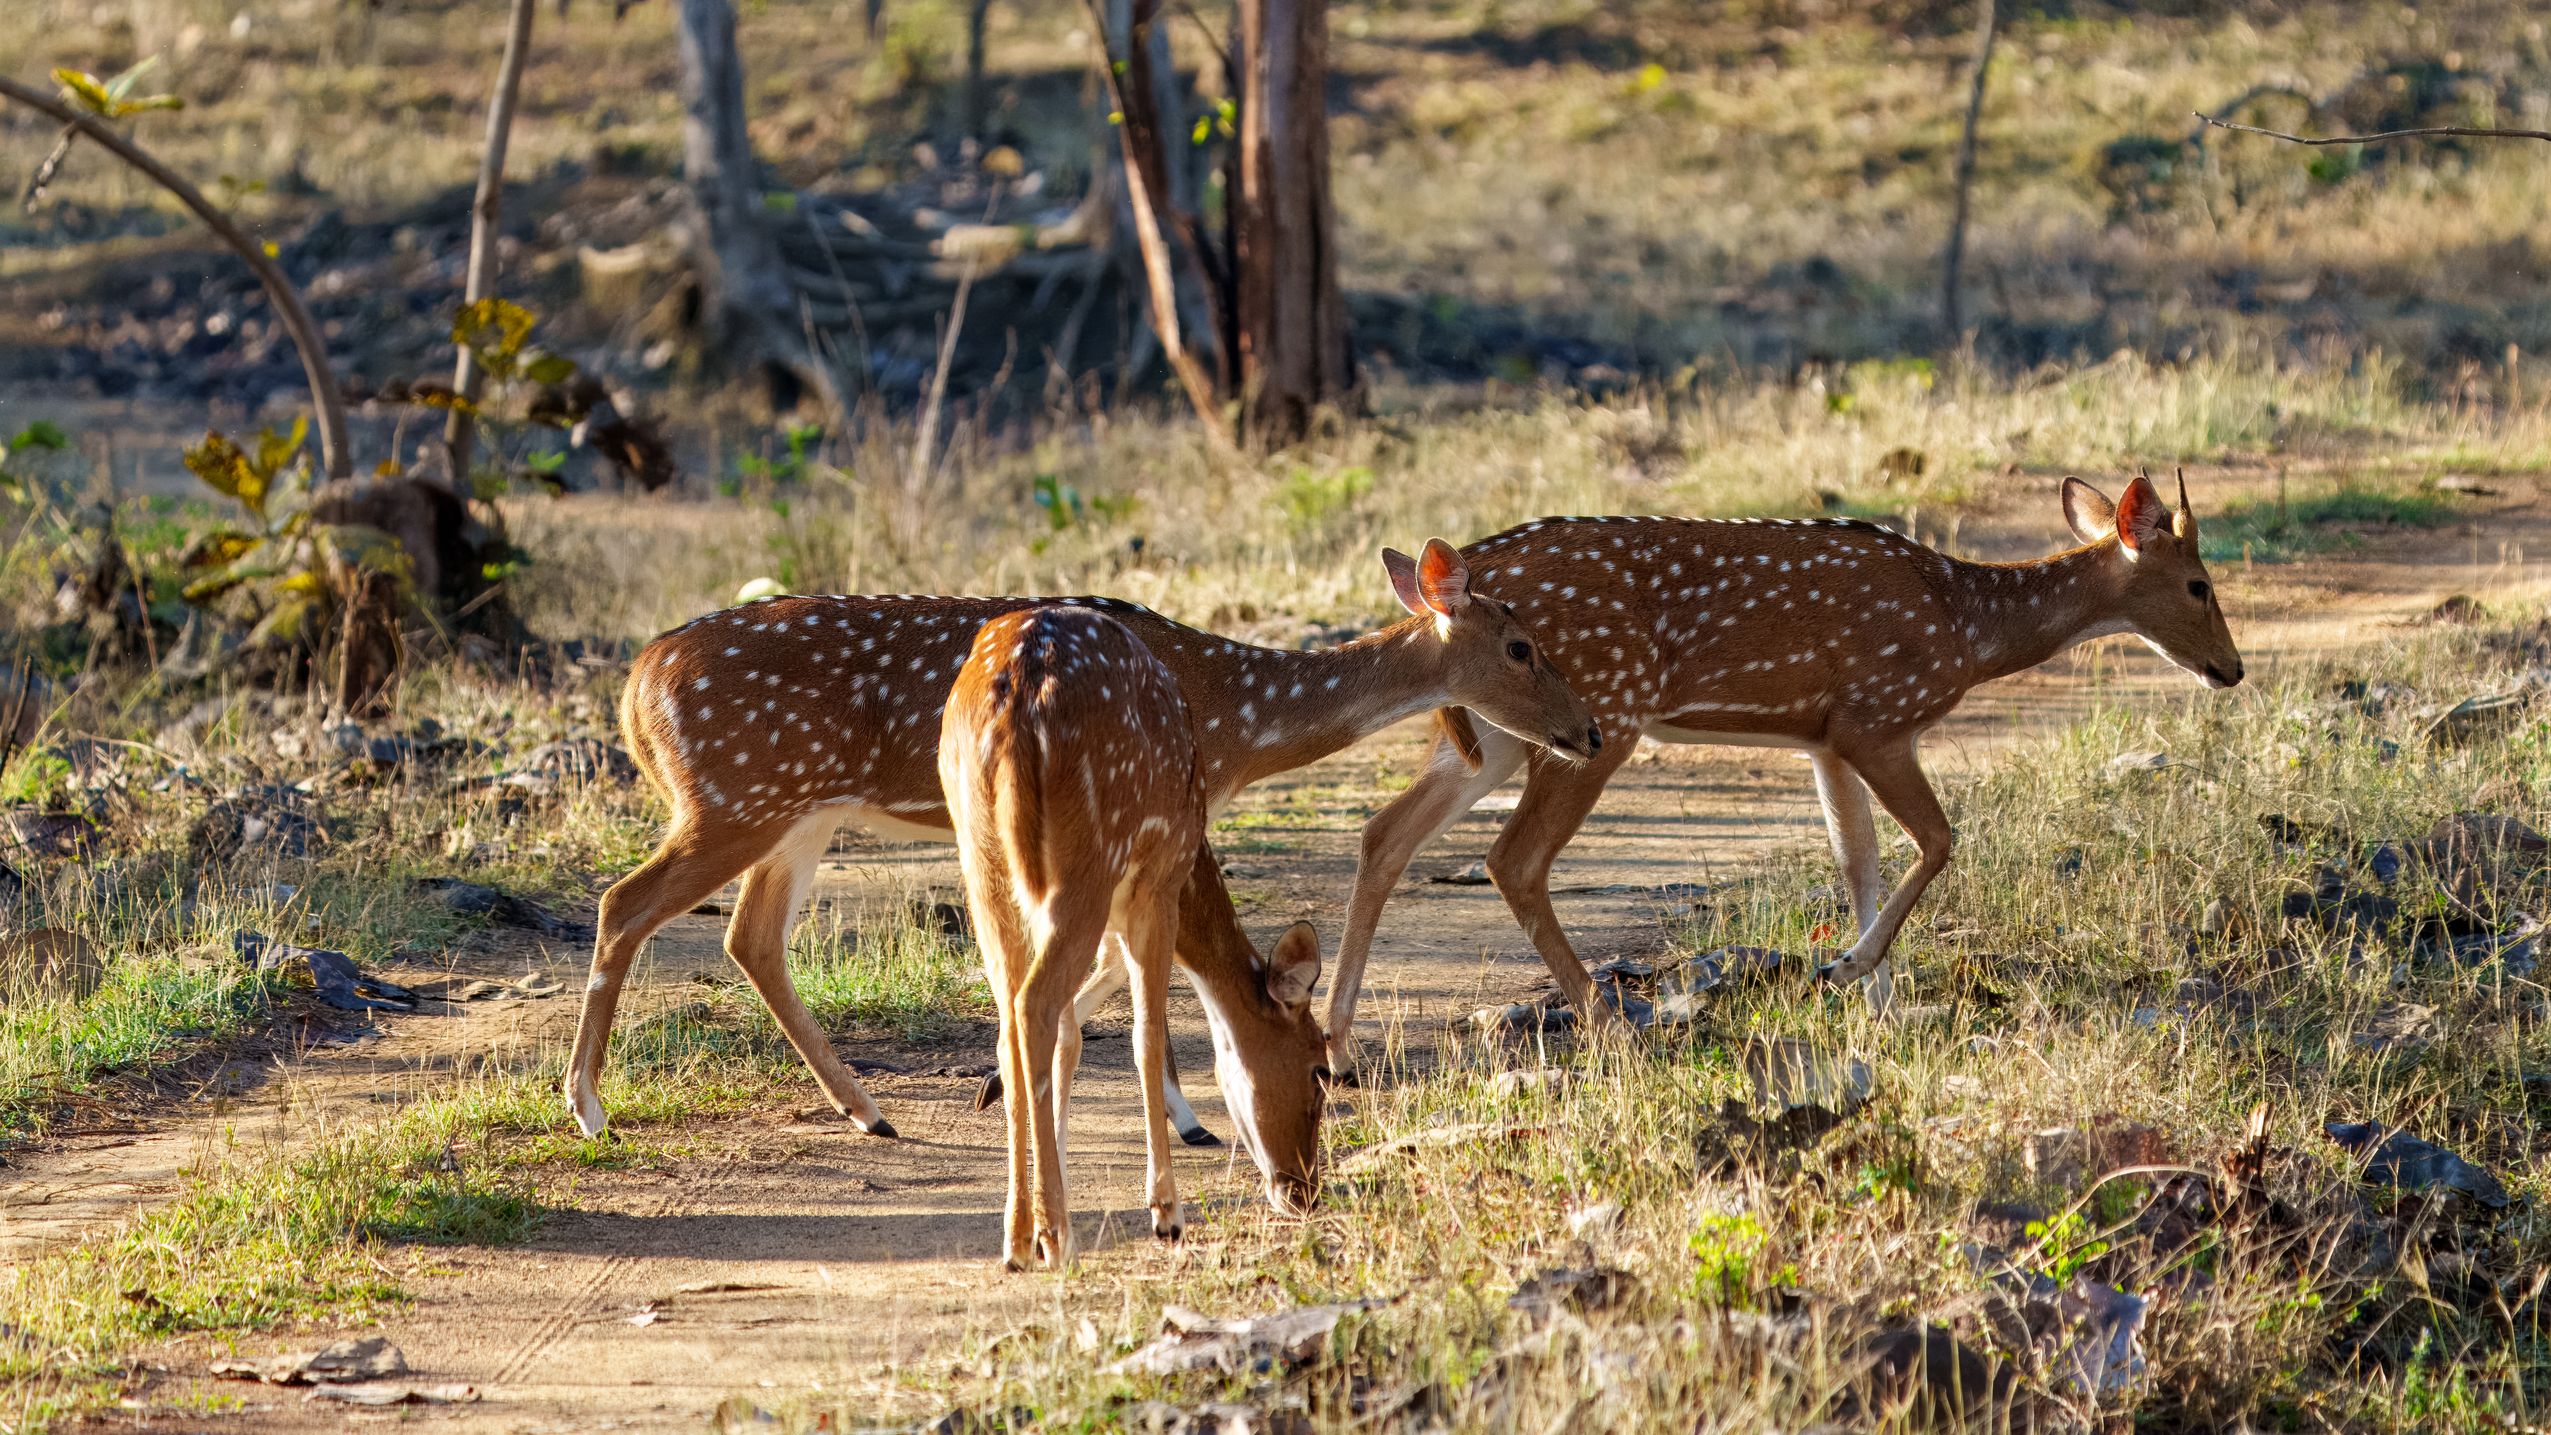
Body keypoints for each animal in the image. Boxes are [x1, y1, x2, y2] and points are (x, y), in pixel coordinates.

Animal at [564, 538, 1598, 1146]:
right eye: (1520, 645)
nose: (1587, 729)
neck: (1237, 716)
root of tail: (634, 689)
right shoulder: (1169, 805)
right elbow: (1151, 961)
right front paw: (1179, 1116)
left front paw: (1014, 1082)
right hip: (736, 795)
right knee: (625, 903)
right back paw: (589, 1108)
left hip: (796, 809)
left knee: (751, 935)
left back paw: (870, 1114)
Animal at [943, 606, 1328, 1266]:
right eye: (1318, 1070)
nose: (1304, 1192)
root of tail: (1016, 698)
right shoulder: (1157, 885)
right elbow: (1145, 1038)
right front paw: (1166, 1214)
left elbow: (1073, 1036)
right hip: (1088, 861)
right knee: (1034, 1004)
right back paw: (1056, 1238)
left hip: (984, 866)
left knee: (1010, 1020)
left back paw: (1018, 1237)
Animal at [1312, 473, 2244, 1078]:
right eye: (2199, 583)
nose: (2230, 669)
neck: (1968, 628)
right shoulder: (1878, 715)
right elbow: (1937, 839)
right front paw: (1849, 972)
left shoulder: (1824, 738)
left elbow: (1857, 858)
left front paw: (1879, 1011)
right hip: (1601, 713)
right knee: (1513, 858)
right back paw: (1614, 1030)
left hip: (1508, 733)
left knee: (1385, 831)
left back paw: (1339, 1042)